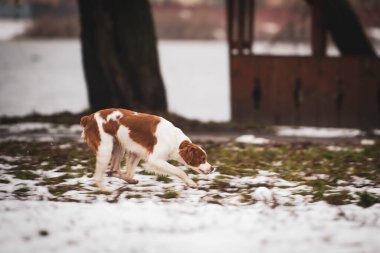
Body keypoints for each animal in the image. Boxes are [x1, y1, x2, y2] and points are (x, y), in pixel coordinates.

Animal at [80, 107, 215, 191]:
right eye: (202, 159)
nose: (212, 168)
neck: (175, 141)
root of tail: (90, 117)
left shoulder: (136, 154)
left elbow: (128, 172)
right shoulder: (155, 159)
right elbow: (179, 171)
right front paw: (191, 183)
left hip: (119, 147)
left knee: (113, 171)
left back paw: (130, 181)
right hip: (105, 149)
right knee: (99, 177)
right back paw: (107, 191)